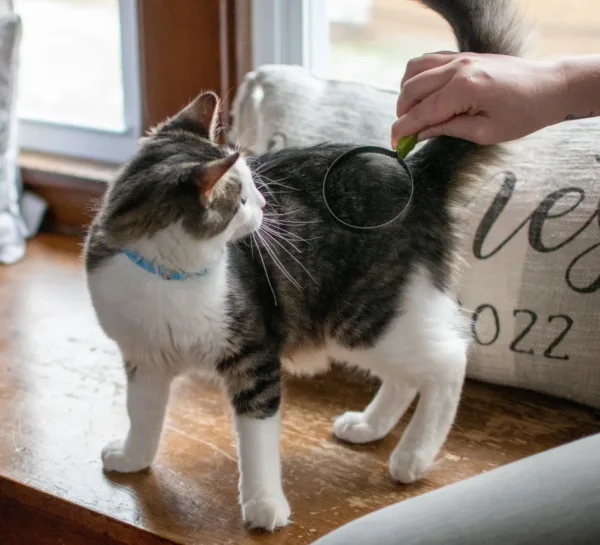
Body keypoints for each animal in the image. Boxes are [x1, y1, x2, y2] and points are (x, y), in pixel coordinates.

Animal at [84, 0, 524, 528]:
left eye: (255, 187)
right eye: (243, 196)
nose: (264, 207)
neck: (169, 279)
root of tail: (413, 173)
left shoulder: (254, 357)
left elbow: (256, 444)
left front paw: (264, 505)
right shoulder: (144, 357)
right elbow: (143, 414)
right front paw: (134, 458)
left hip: (366, 316)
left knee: (448, 361)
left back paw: (413, 457)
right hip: (377, 322)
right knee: (407, 375)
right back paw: (370, 425)